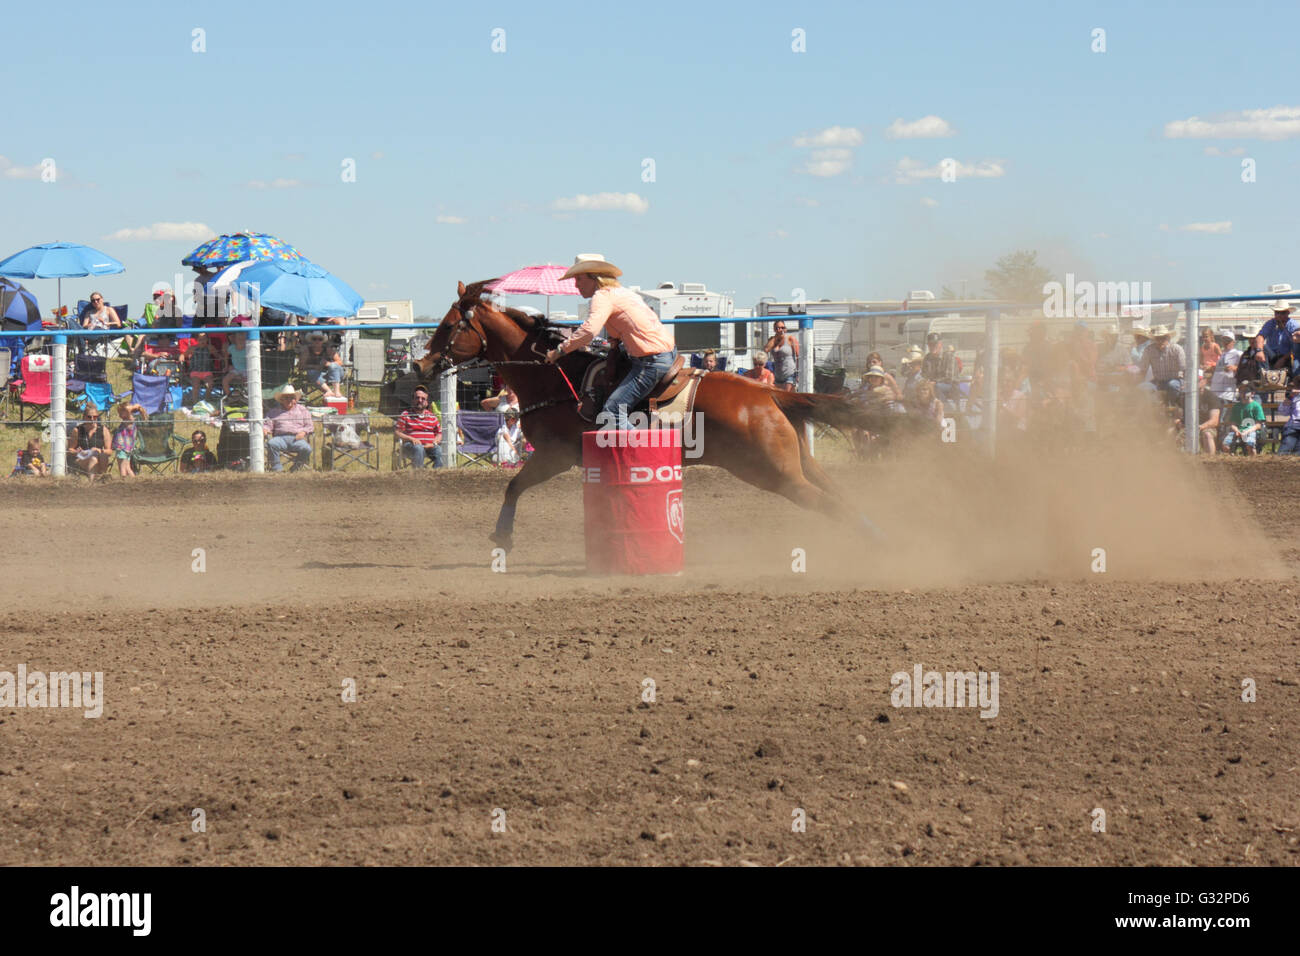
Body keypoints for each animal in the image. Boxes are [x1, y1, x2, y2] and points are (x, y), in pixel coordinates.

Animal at [416, 280, 925, 548]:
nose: (421, 365)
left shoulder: (556, 455)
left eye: (448, 325)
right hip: (796, 460)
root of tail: (769, 395)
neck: (556, 375)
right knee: (836, 493)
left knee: (823, 501)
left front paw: (502, 538)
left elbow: (514, 484)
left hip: (771, 470)